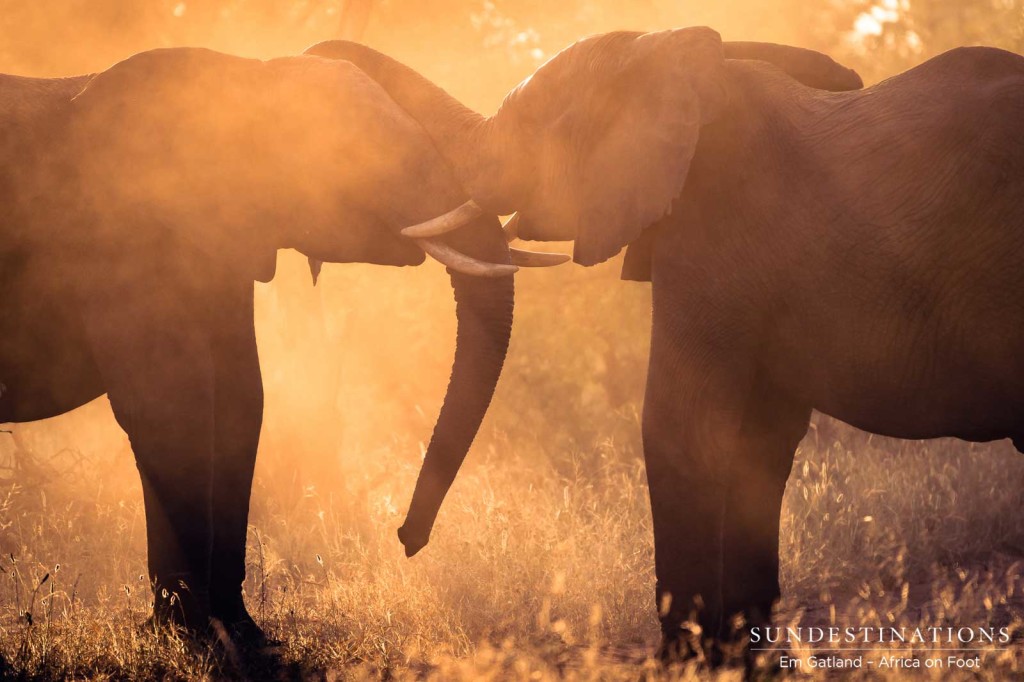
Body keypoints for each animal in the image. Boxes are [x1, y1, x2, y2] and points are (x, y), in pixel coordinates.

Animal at [2, 46, 561, 643]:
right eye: (360, 158)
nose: (407, 539)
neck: (250, 75)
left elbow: (241, 401)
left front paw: (236, 630)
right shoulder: (124, 236)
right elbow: (169, 410)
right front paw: (190, 635)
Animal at [305, 30, 1024, 659]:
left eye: (527, 126)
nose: (405, 539)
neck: (668, 57)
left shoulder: (714, 230)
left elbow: (678, 426)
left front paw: (689, 659)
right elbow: (759, 441)